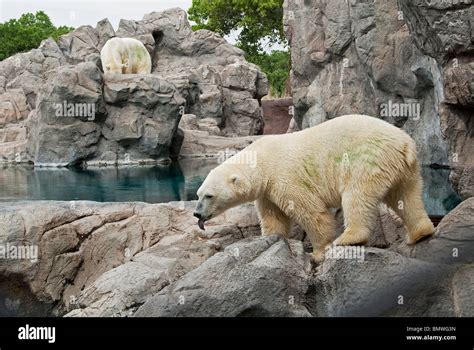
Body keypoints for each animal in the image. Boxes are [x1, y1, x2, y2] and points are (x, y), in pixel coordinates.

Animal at [193, 115, 436, 262]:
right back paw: (420, 232)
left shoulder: (284, 176)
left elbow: (311, 212)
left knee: (357, 196)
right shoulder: (267, 191)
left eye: (209, 195)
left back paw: (349, 237)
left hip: (368, 159)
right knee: (406, 196)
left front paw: (319, 252)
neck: (262, 160)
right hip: (404, 168)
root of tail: (405, 144)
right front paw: (270, 237)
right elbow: (273, 217)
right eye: (198, 194)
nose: (197, 214)